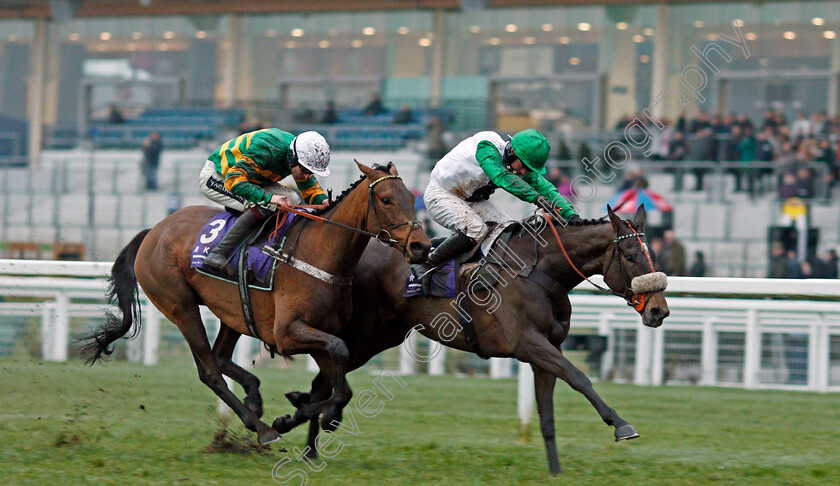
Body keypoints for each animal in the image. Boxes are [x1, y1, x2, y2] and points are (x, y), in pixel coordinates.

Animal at [82, 161, 430, 446]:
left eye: (411, 198)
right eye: (386, 199)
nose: (421, 246)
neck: (319, 254)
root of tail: (154, 230)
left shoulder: (322, 332)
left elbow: (339, 381)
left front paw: (306, 410)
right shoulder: (287, 333)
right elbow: (337, 363)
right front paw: (303, 414)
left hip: (232, 311)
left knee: (221, 357)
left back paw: (254, 396)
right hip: (180, 306)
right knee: (209, 370)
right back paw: (260, 427)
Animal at [212, 203, 668, 472]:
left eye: (652, 255)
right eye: (630, 256)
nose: (659, 310)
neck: (540, 272)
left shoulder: (545, 351)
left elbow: (547, 412)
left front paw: (555, 471)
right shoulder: (528, 344)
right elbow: (581, 377)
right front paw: (622, 425)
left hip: (378, 337)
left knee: (323, 380)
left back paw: (304, 433)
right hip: (360, 335)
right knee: (327, 377)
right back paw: (300, 424)